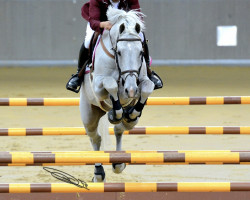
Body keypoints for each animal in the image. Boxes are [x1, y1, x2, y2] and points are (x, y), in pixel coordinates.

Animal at [80, 6, 154, 181]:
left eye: (141, 52)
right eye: (119, 52)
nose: (131, 90)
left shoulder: (141, 80)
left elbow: (148, 87)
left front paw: (130, 112)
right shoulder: (98, 86)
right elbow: (111, 84)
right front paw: (116, 111)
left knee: (119, 129)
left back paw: (119, 162)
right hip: (88, 114)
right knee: (95, 138)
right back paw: (98, 173)